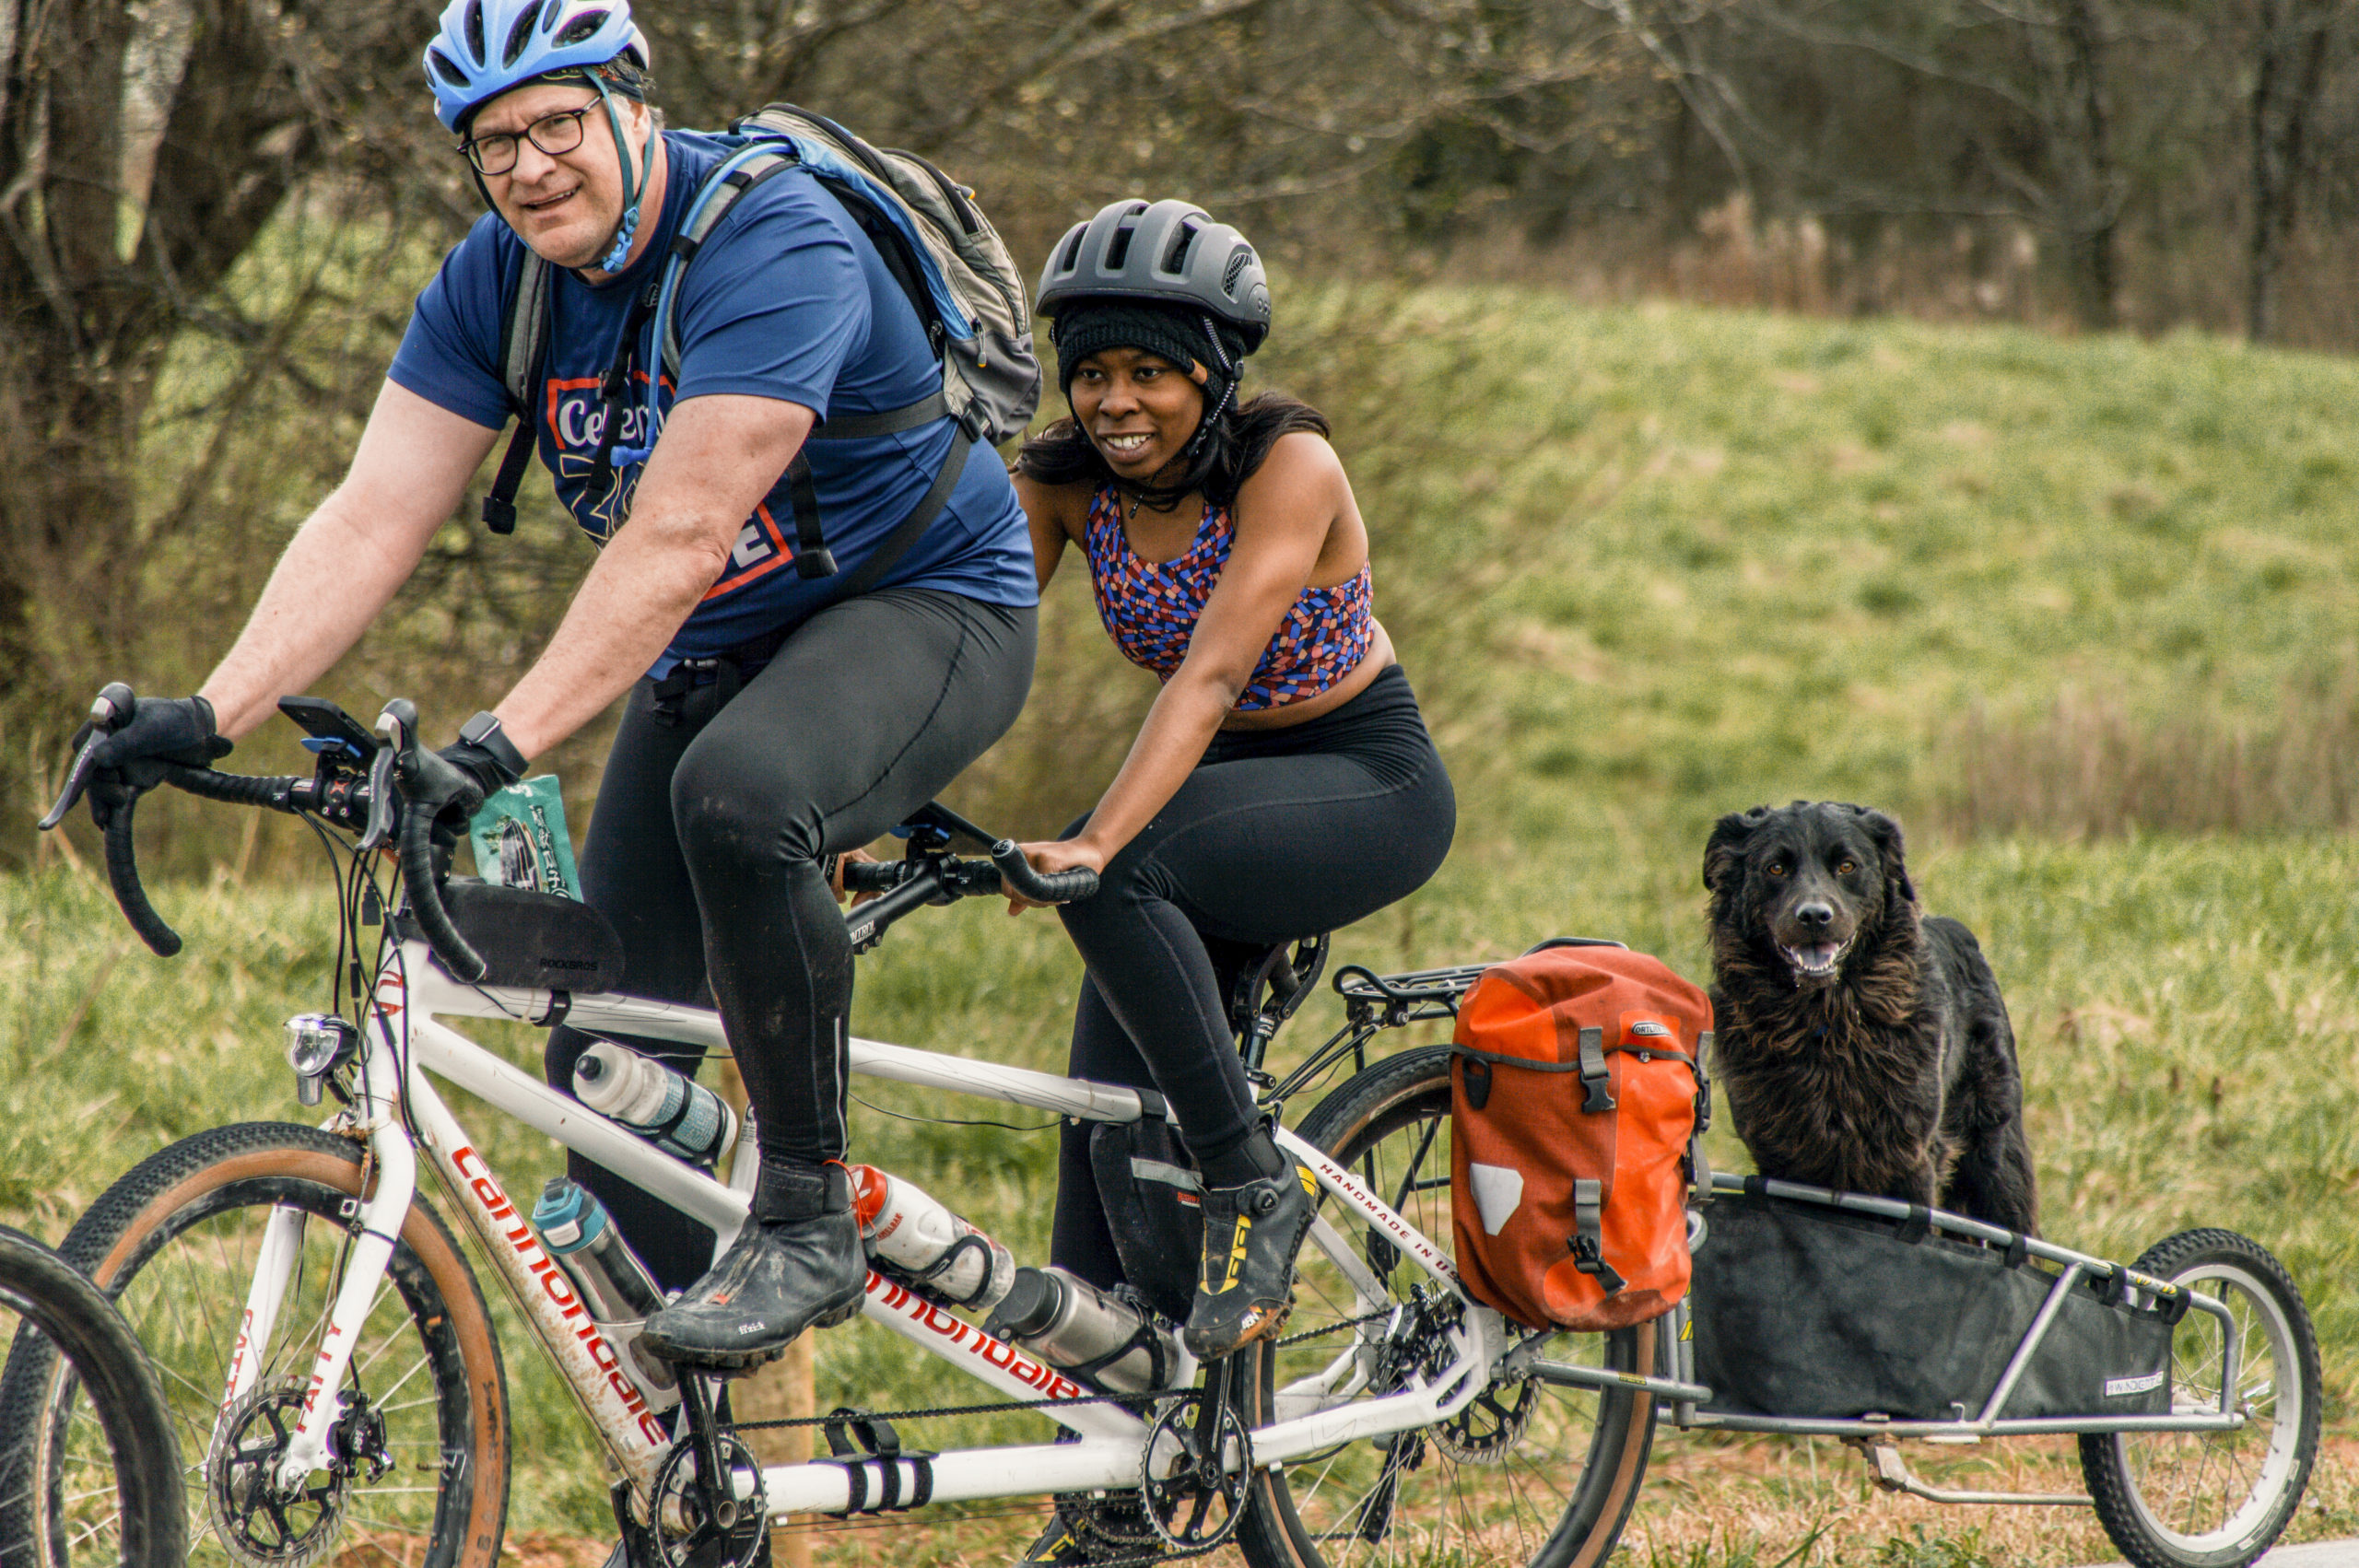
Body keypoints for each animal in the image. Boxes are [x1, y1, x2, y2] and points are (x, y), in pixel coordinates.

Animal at [1702, 801, 2038, 1235]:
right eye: (1775, 868)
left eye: (1847, 866)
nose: (1814, 916)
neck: (1826, 1021)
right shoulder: (1781, 1160)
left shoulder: (1911, 1158)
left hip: (1997, 1157)